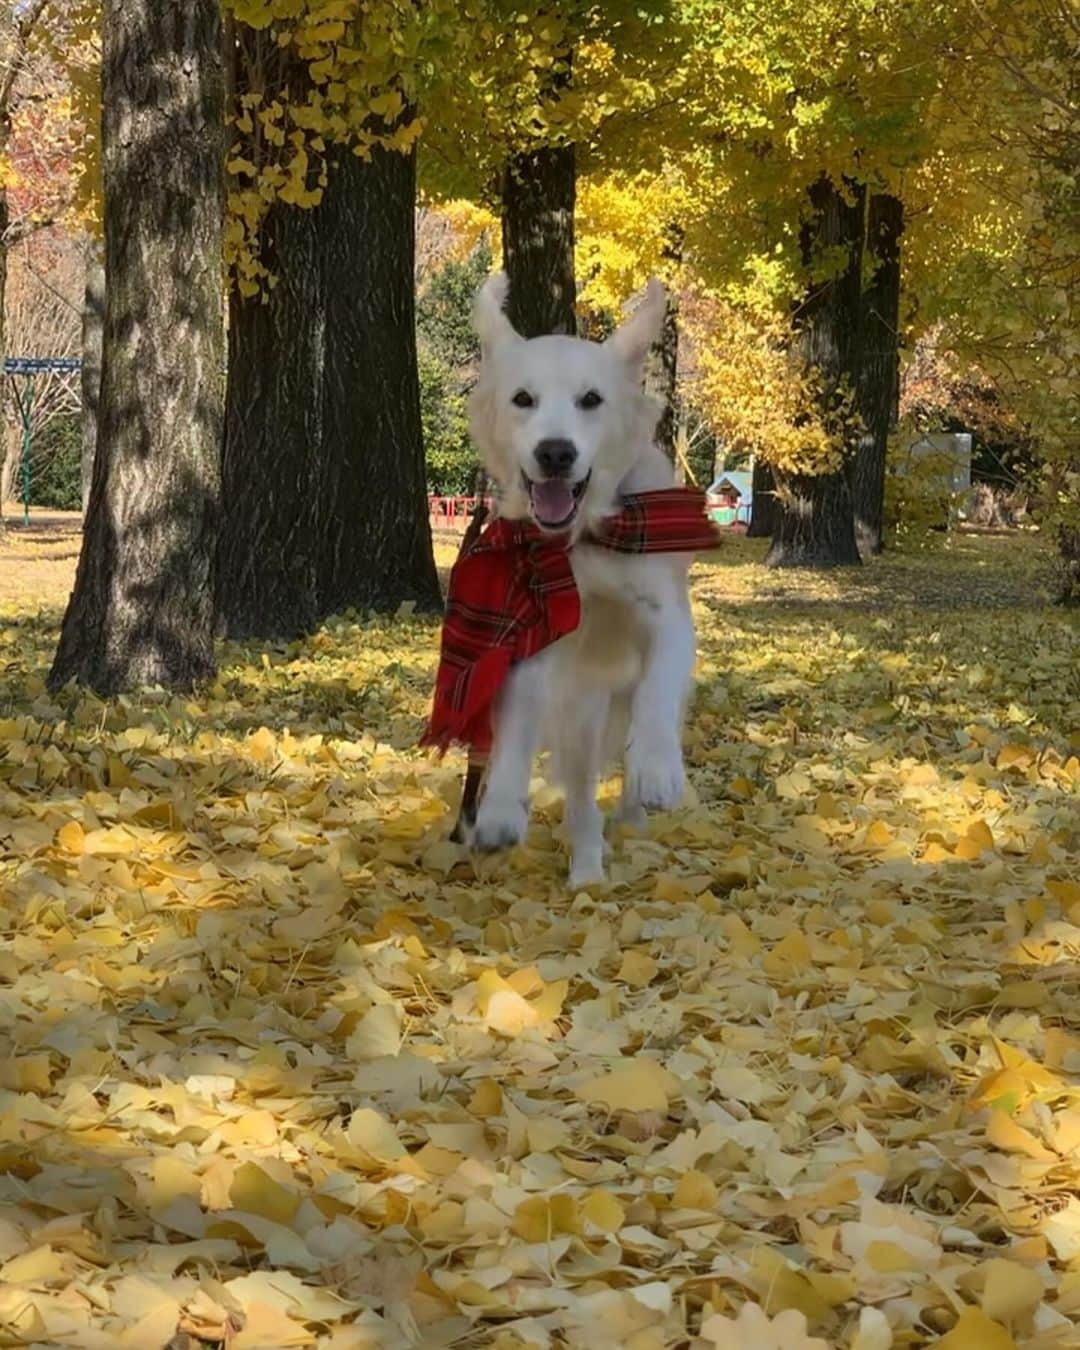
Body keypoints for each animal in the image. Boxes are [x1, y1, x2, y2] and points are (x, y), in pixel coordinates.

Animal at [459, 274, 696, 885]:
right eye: (523, 399)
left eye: (591, 399)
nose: (556, 453)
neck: (583, 538)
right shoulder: (532, 631)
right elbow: (514, 716)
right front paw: (499, 807)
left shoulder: (669, 616)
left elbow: (660, 686)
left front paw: (657, 765)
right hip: (582, 714)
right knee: (584, 797)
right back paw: (588, 867)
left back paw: (633, 813)